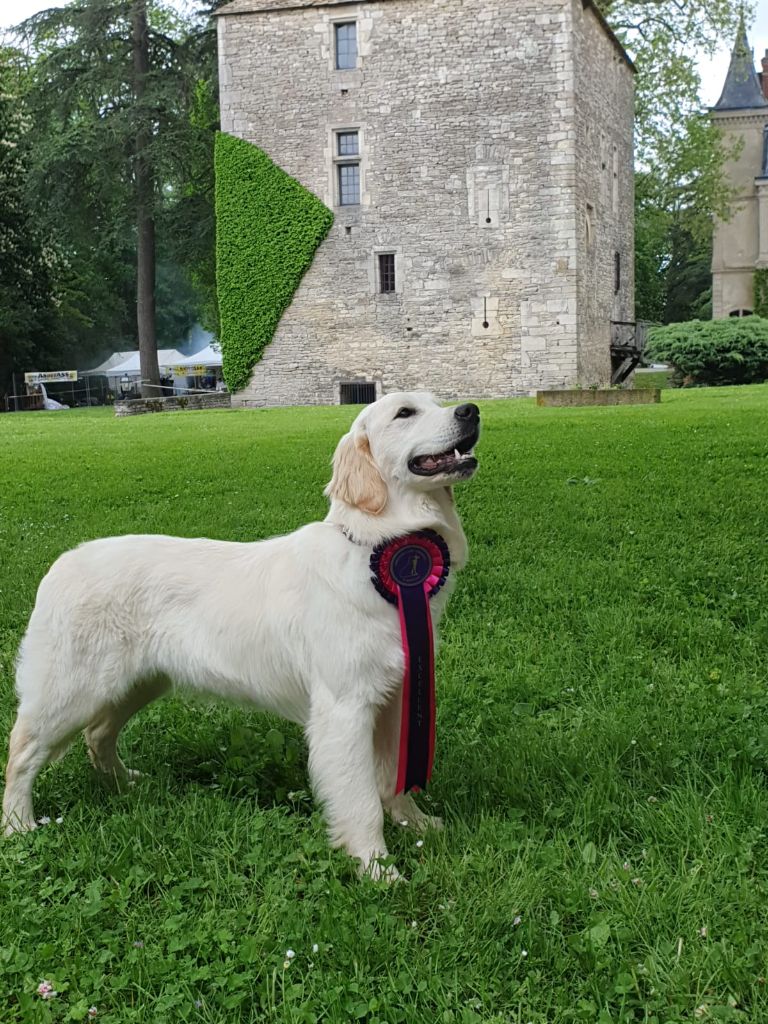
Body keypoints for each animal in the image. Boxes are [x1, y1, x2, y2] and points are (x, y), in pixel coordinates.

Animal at [1, 393, 481, 880]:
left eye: (437, 401)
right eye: (405, 413)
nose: (471, 411)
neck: (376, 547)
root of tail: (62, 563)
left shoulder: (397, 696)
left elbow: (394, 779)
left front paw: (415, 824)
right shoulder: (345, 707)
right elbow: (361, 799)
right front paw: (377, 869)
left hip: (137, 683)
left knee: (97, 735)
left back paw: (124, 784)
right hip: (72, 689)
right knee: (21, 750)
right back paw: (18, 825)